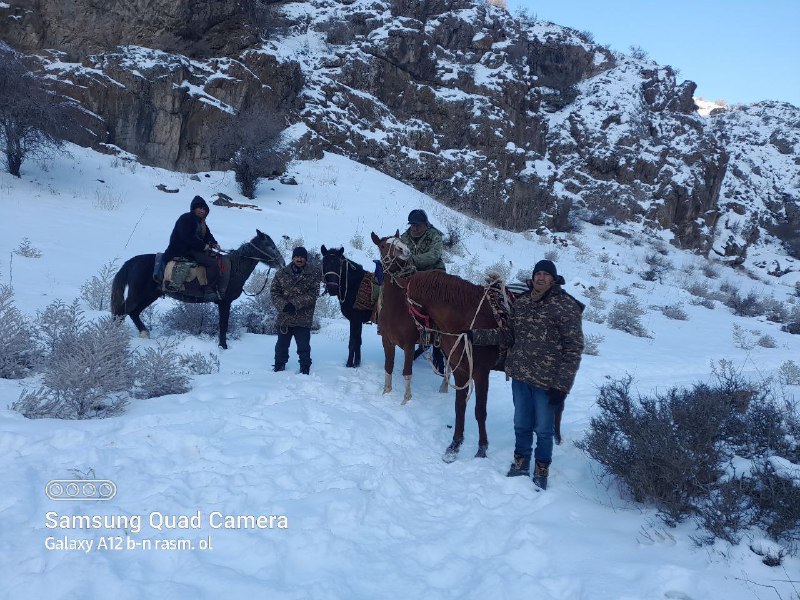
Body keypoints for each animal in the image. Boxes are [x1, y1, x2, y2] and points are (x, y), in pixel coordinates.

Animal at [111, 232, 286, 350]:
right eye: (271, 246)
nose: (282, 263)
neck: (234, 268)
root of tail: (132, 262)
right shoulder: (224, 302)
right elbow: (223, 325)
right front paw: (223, 346)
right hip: (138, 294)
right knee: (121, 312)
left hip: (150, 295)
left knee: (133, 312)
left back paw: (144, 333)